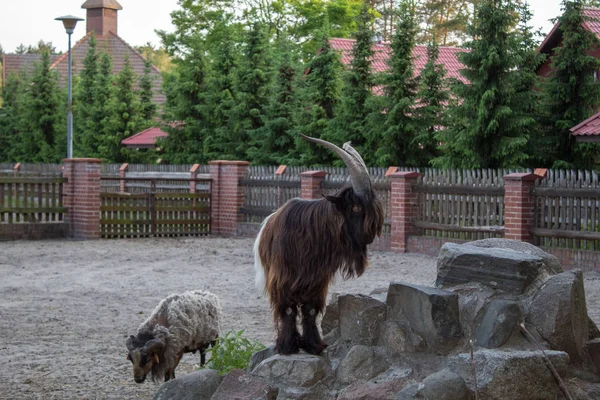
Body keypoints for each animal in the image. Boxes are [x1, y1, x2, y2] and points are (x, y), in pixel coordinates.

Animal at [254, 135, 384, 356]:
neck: (313, 232)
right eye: (356, 207)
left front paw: (314, 345)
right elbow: (288, 309)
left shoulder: (317, 280)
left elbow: (310, 310)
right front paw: (288, 346)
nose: (370, 235)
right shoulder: (283, 277)